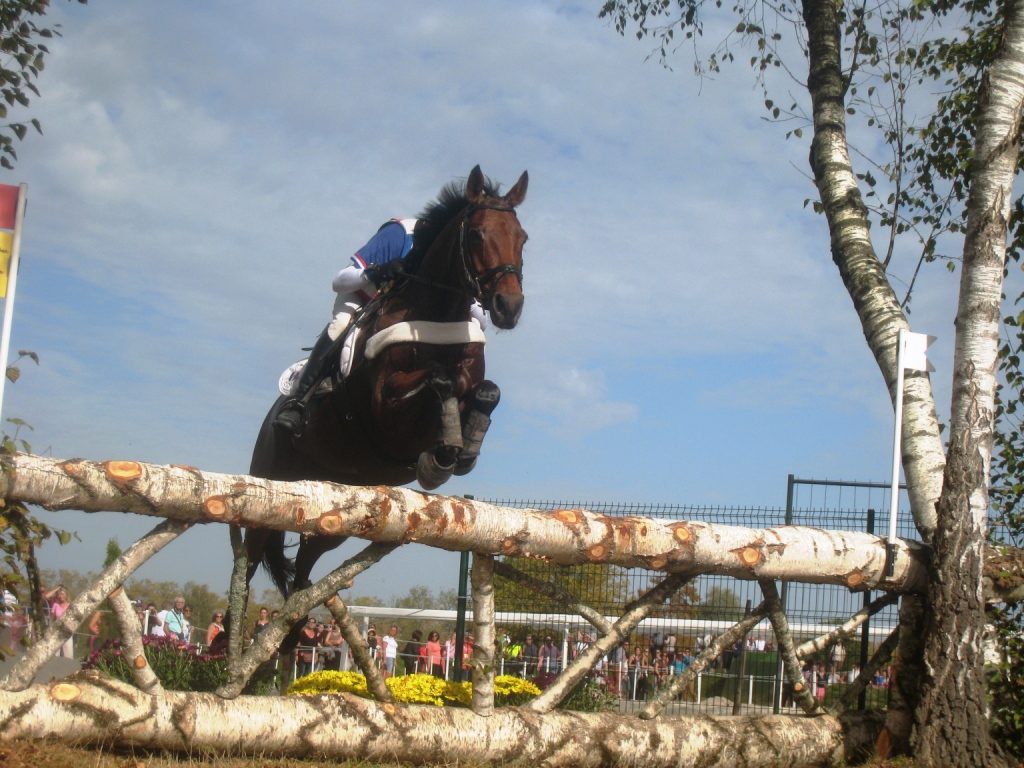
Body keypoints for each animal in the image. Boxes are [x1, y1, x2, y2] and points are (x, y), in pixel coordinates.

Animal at [242, 167, 524, 598]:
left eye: (522, 237)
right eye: (477, 234)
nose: (509, 307)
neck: (437, 314)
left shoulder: (470, 379)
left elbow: (487, 391)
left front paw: (466, 448)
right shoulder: (388, 413)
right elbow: (440, 382)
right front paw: (443, 454)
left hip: (335, 513)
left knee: (303, 575)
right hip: (268, 490)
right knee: (247, 566)